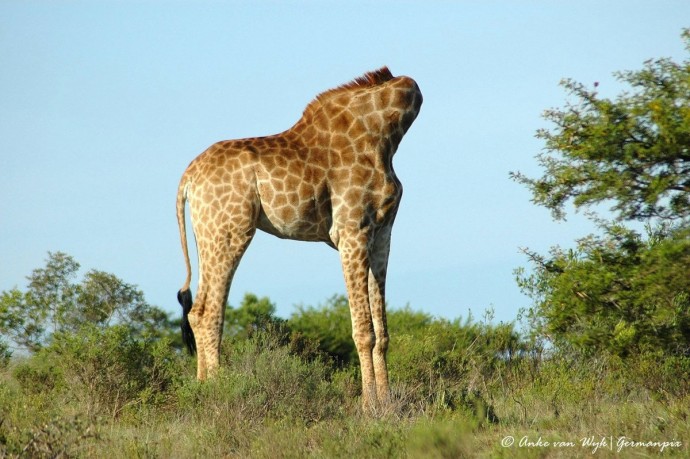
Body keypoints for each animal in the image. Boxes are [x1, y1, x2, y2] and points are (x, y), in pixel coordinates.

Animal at [175, 65, 420, 414]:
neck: (386, 136)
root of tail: (188, 178)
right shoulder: (351, 231)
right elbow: (364, 330)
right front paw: (368, 406)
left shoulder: (382, 234)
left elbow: (382, 331)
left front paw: (387, 404)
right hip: (231, 229)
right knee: (211, 312)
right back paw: (221, 391)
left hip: (207, 233)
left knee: (197, 310)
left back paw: (200, 390)